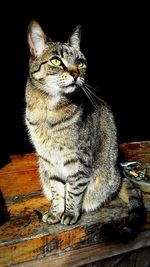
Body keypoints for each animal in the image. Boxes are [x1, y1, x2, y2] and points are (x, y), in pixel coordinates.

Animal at [25, 19, 145, 244]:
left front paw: (70, 213)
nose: (75, 73)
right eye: (56, 61)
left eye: (80, 62)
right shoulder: (49, 163)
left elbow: (72, 191)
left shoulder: (79, 162)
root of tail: (119, 173)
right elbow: (57, 190)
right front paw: (56, 211)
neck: (47, 110)